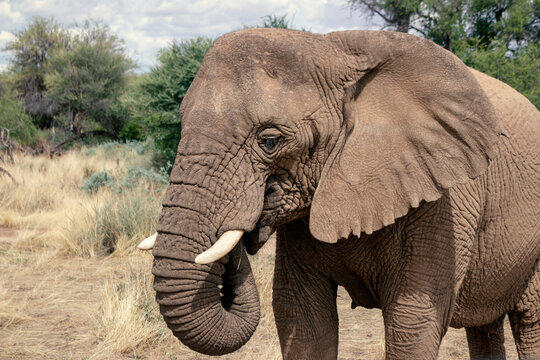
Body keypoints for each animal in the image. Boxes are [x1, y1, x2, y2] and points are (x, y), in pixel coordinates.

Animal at [140, 28, 540, 360]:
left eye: (269, 141)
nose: (245, 227)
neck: (333, 49)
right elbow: (301, 314)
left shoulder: (443, 202)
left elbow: (413, 320)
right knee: (485, 326)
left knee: (530, 321)